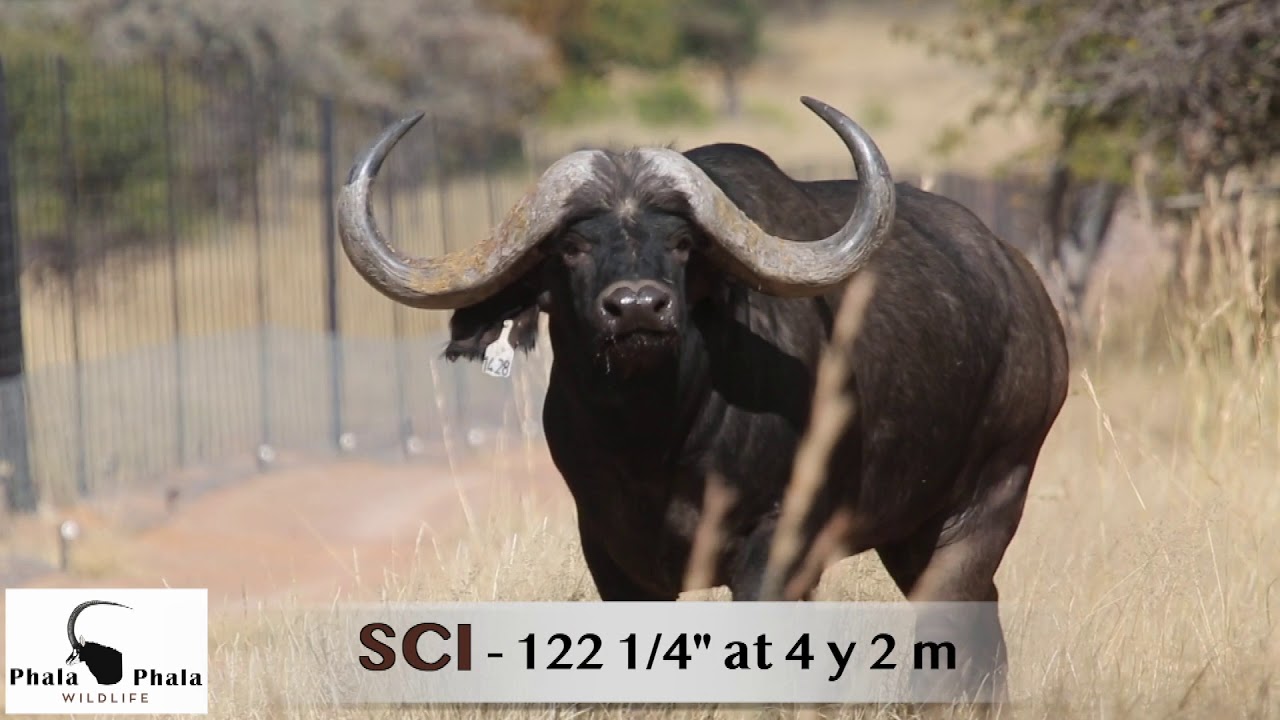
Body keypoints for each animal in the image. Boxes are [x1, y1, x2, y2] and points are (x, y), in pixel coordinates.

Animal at [336, 97, 1070, 701]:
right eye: (572, 246)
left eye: (682, 243)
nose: (638, 307)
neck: (654, 444)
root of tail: (1027, 293)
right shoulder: (613, 557)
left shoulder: (776, 548)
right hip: (913, 532)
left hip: (988, 500)